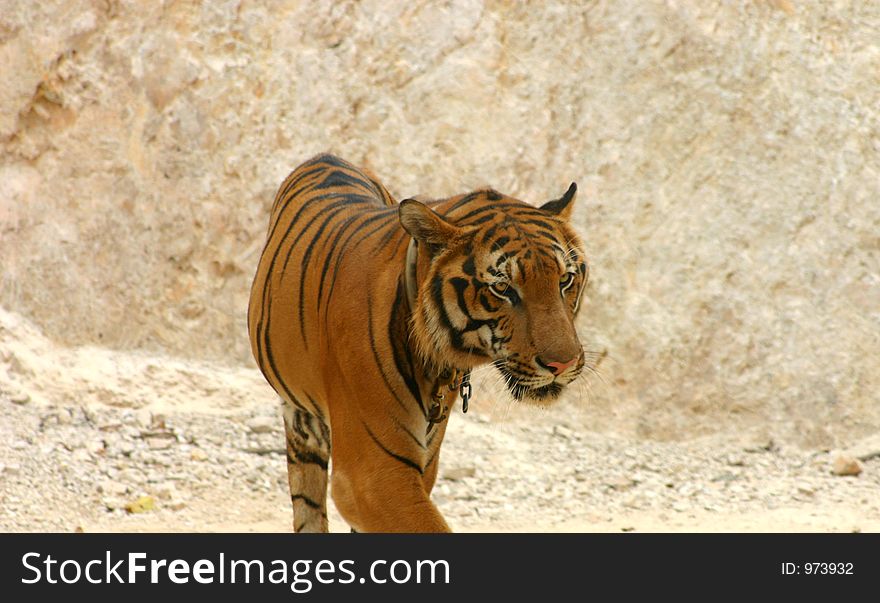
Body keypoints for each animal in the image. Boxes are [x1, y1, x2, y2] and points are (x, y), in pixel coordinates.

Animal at [248, 155, 588, 532]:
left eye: (565, 280)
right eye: (502, 288)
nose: (563, 364)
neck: (439, 363)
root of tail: (326, 156)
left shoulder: (424, 462)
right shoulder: (372, 473)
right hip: (303, 421)